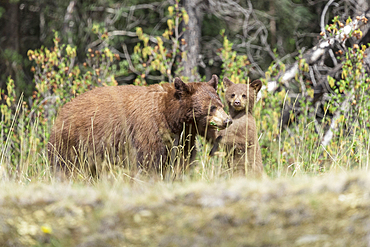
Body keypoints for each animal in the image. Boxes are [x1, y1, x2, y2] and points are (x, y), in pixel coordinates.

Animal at [48, 74, 231, 175]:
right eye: (212, 107)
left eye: (221, 104)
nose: (227, 120)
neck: (172, 117)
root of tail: (62, 110)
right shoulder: (149, 128)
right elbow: (149, 159)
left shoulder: (184, 135)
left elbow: (182, 158)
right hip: (72, 142)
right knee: (65, 166)